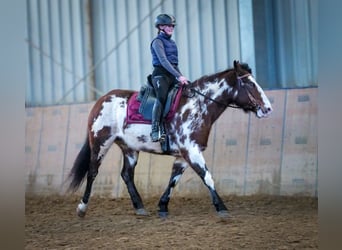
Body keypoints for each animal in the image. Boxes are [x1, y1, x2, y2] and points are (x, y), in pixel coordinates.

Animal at [67, 60, 272, 219]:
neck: (198, 105)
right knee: (93, 172)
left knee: (127, 175)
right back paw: (82, 208)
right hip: (101, 143)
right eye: (250, 84)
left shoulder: (183, 155)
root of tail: (102, 100)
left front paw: (162, 206)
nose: (267, 108)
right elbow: (207, 177)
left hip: (130, 148)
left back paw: (140, 208)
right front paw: (221, 208)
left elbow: (174, 180)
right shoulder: (191, 151)